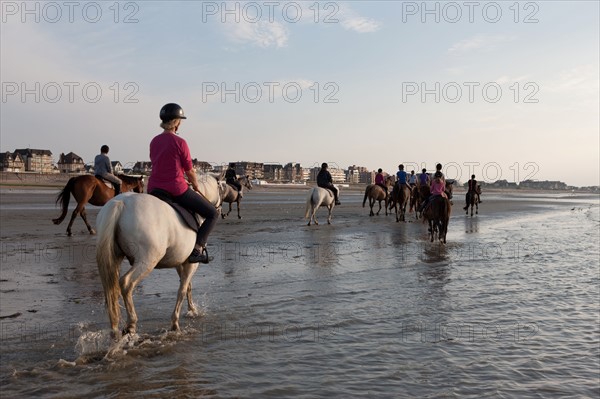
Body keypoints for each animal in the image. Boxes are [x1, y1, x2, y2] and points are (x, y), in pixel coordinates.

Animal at [95, 173, 221, 336]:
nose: (219, 210)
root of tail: (121, 203)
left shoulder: (180, 263)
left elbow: (187, 286)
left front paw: (192, 310)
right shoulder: (191, 264)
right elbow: (182, 290)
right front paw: (175, 323)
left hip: (115, 259)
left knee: (112, 290)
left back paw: (115, 326)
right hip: (147, 261)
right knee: (126, 283)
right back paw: (131, 324)